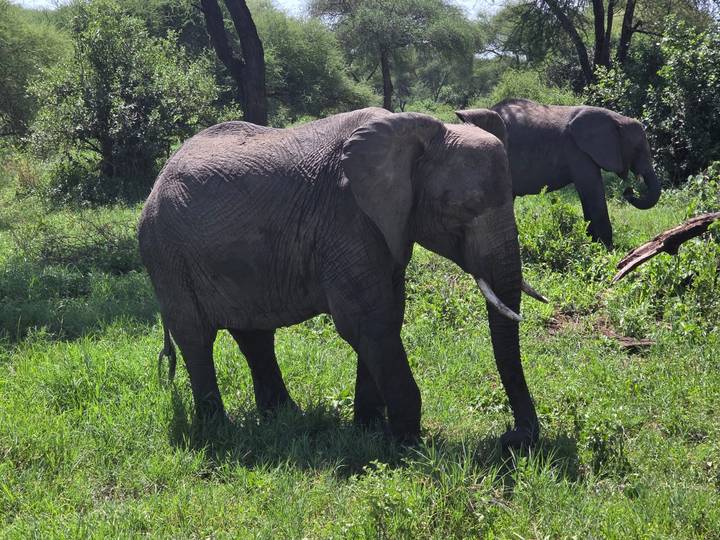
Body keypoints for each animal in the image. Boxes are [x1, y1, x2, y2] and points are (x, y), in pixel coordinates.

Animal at [138, 107, 543, 449]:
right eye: (462, 208)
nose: (513, 438)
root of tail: (157, 180)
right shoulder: (345, 218)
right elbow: (367, 321)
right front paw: (407, 444)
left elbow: (386, 318)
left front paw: (368, 429)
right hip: (166, 253)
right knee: (196, 337)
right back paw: (218, 430)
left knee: (254, 335)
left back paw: (283, 417)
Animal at [456, 98, 662, 249]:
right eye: (637, 149)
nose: (629, 191)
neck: (616, 118)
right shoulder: (577, 151)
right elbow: (592, 191)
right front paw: (608, 249)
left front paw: (592, 243)